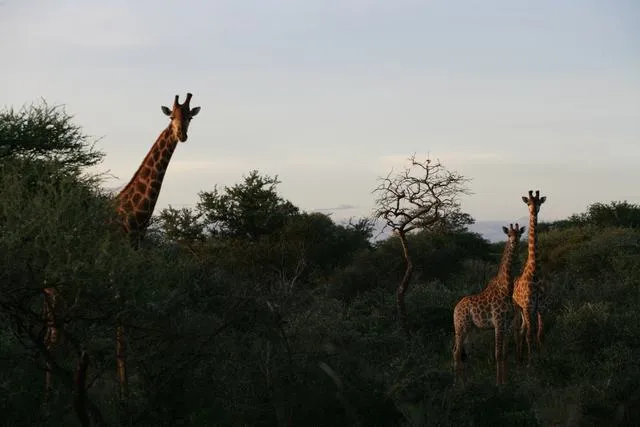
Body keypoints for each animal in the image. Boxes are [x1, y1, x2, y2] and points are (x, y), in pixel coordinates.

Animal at [42, 93, 200, 401]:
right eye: (171, 116)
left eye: (189, 117)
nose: (182, 135)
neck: (134, 217)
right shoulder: (117, 271)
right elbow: (120, 325)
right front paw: (124, 394)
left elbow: (122, 323)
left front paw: (124, 389)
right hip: (57, 287)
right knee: (52, 334)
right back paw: (47, 398)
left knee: (50, 333)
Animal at [453, 223, 525, 385]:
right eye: (508, 235)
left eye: (518, 234)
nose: (514, 242)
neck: (506, 288)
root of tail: (455, 308)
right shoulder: (498, 322)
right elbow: (497, 354)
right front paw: (498, 384)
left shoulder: (506, 323)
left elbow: (504, 353)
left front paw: (506, 381)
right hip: (461, 326)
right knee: (456, 352)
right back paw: (459, 384)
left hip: (471, 328)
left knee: (464, 352)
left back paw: (467, 381)